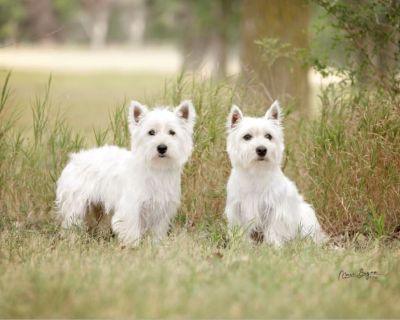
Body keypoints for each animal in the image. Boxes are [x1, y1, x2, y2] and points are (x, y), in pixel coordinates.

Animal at [55, 100, 196, 245]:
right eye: (151, 132)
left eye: (172, 132)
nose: (162, 147)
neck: (157, 169)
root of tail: (73, 159)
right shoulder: (131, 208)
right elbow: (132, 231)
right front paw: (133, 246)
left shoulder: (161, 211)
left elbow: (156, 233)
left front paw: (155, 245)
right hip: (76, 205)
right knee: (71, 225)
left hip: (98, 207)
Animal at [223, 101, 326, 246]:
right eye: (247, 137)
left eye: (268, 136)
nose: (261, 149)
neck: (256, 172)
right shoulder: (237, 208)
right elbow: (240, 229)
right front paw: (242, 244)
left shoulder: (275, 209)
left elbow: (274, 229)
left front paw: (273, 245)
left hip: (306, 216)